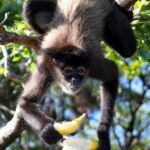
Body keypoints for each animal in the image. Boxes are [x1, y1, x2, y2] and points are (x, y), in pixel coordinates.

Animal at [16, 0, 136, 149]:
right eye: (68, 71)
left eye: (81, 71)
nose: (75, 80)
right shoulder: (45, 67)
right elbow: (25, 101)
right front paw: (47, 131)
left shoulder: (93, 65)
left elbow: (113, 72)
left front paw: (103, 134)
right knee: (29, 6)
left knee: (129, 50)